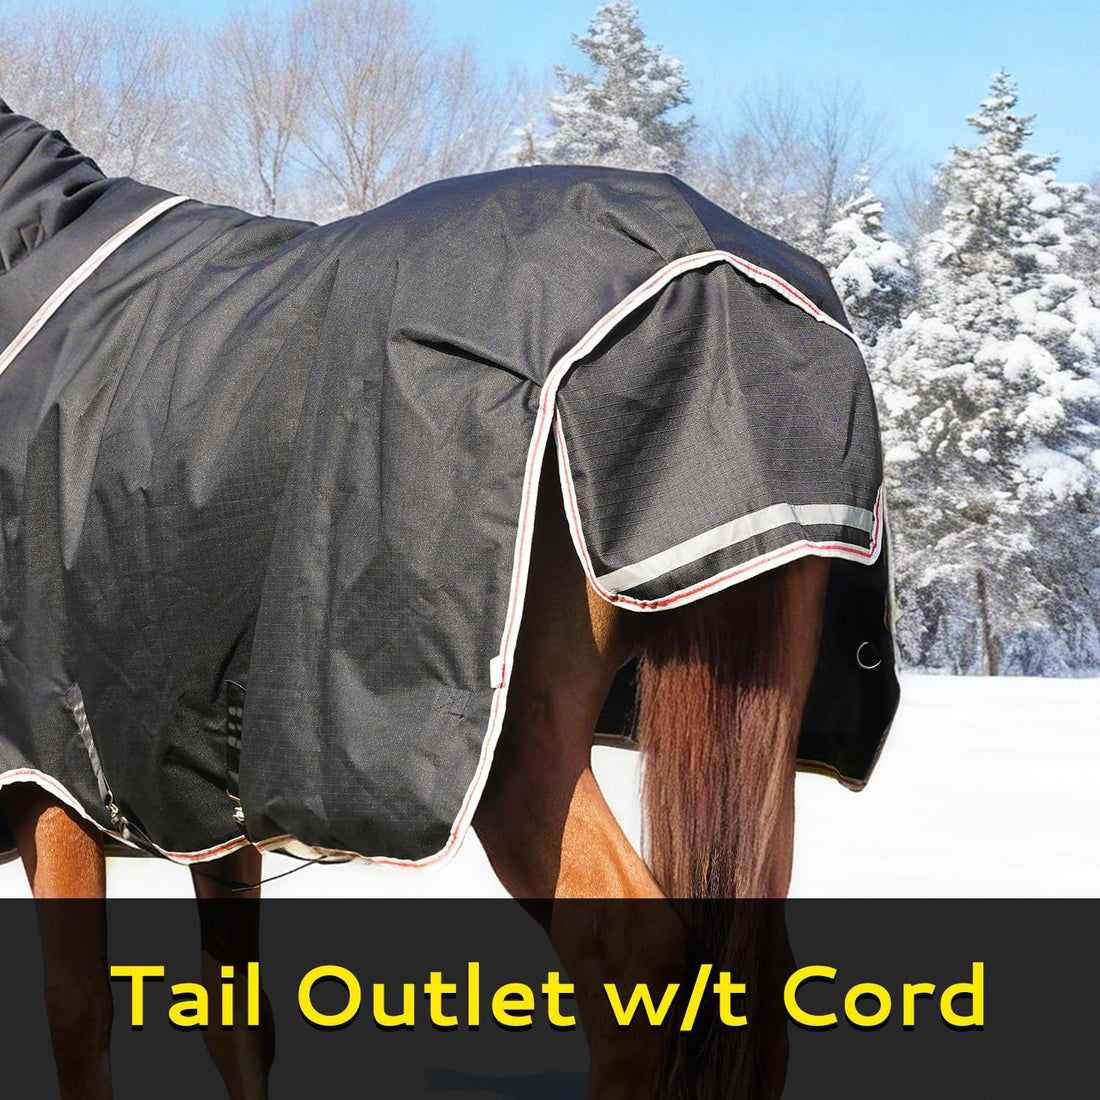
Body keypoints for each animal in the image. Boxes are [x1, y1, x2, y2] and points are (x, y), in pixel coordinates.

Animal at [0, 97, 898, 1097]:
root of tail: (715, 277)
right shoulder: (201, 809)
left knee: (633, 957)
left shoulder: (46, 778)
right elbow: (235, 1024)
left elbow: (78, 1020)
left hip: (523, 752)